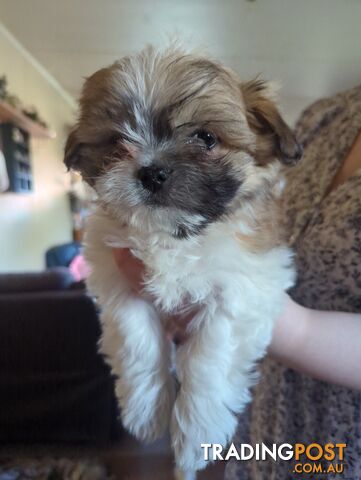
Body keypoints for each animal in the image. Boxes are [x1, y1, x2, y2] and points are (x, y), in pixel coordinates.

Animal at [63, 46, 300, 480]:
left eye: (206, 137)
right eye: (117, 141)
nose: (152, 171)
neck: (175, 236)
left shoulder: (245, 284)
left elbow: (212, 355)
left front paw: (195, 434)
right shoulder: (118, 278)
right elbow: (137, 338)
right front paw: (146, 410)